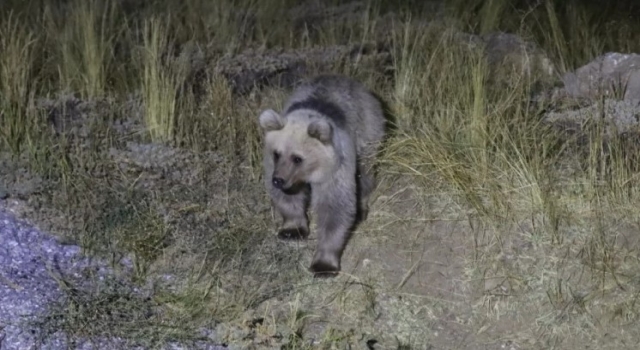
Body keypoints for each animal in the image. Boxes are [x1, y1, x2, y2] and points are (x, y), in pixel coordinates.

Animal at [258, 74, 388, 276]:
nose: (278, 180)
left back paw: (361, 208)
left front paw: (324, 264)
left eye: (297, 158)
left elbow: (334, 209)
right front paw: (292, 229)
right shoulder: (276, 167)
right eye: (277, 153)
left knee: (364, 175)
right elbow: (288, 199)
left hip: (368, 133)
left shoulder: (335, 171)